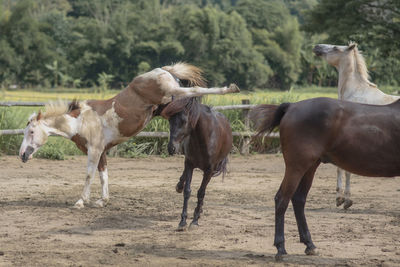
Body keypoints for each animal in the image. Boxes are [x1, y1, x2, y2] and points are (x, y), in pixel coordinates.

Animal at [18, 62, 239, 209]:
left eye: (31, 132)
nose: (22, 155)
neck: (80, 120)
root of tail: (162, 70)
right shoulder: (102, 152)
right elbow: (103, 175)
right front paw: (102, 200)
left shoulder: (94, 151)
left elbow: (89, 175)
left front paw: (81, 201)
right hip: (169, 103)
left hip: (173, 91)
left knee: (196, 89)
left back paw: (230, 88)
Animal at [161, 97, 233, 231]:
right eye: (170, 121)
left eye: (184, 121)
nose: (171, 148)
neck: (204, 138)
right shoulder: (190, 164)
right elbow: (187, 191)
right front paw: (182, 221)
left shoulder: (209, 170)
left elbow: (201, 193)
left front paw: (194, 220)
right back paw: (179, 186)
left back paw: (198, 212)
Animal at [250, 97, 400, 260]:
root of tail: (291, 106)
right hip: (297, 166)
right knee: (282, 199)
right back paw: (281, 248)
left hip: (310, 167)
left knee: (298, 199)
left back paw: (309, 245)